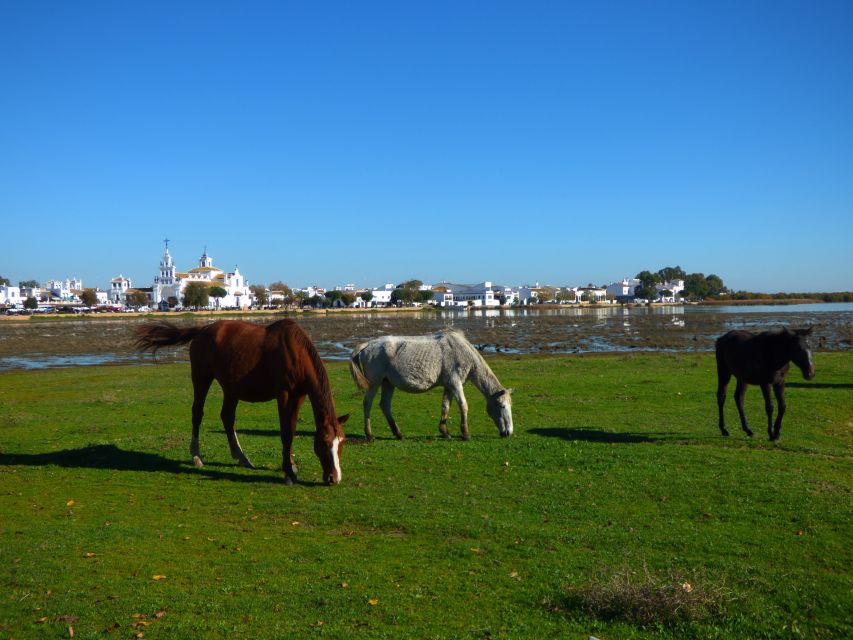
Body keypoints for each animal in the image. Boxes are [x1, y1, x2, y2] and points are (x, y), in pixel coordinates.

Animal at [133, 320, 346, 484]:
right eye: (325, 443)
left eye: (342, 442)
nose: (334, 478)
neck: (296, 352)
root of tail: (203, 329)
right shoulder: (284, 394)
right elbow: (285, 432)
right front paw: (288, 472)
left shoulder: (299, 395)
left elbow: (291, 430)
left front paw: (291, 465)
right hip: (202, 378)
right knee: (197, 413)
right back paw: (196, 455)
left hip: (231, 389)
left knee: (227, 417)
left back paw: (241, 457)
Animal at [348, 328, 512, 442]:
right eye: (502, 406)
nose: (509, 432)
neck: (462, 351)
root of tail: (368, 344)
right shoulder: (455, 384)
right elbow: (463, 406)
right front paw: (465, 434)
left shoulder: (449, 386)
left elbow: (445, 406)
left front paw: (445, 432)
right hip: (374, 383)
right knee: (367, 403)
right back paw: (369, 435)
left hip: (387, 383)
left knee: (385, 405)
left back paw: (398, 434)